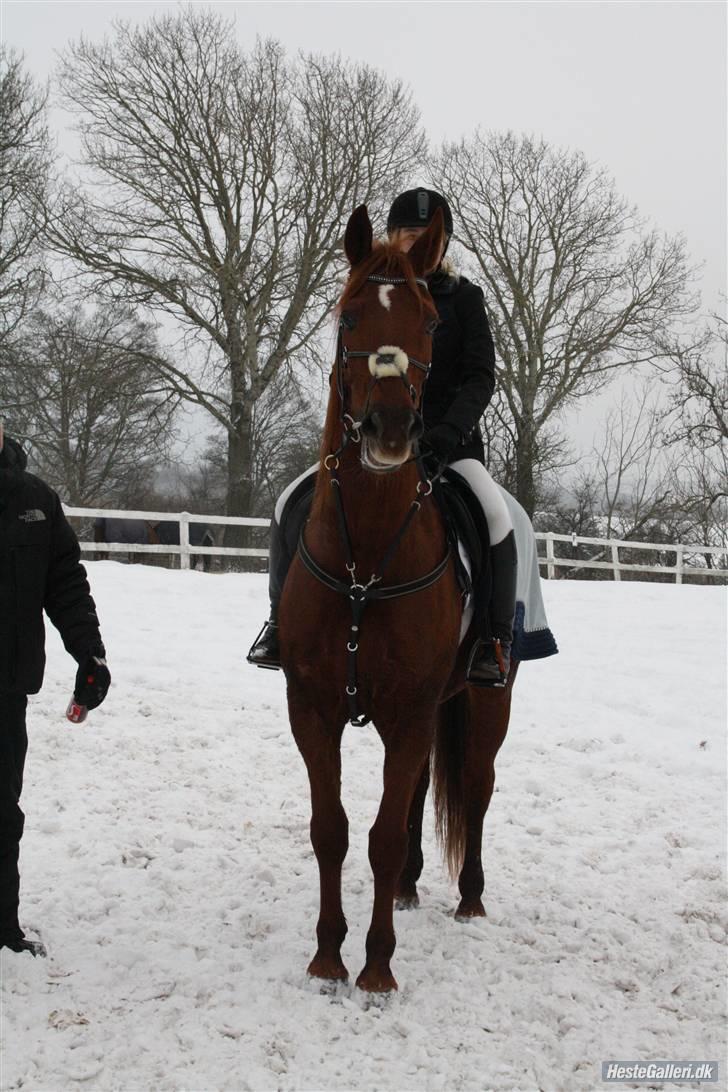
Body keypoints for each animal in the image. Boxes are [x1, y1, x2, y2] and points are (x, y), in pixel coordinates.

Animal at [276, 203, 515, 991]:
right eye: (349, 315)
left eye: (431, 324)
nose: (389, 430)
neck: (368, 562)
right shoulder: (313, 707)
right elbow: (333, 830)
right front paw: (327, 955)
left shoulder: (411, 711)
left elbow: (379, 835)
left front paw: (376, 968)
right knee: (417, 796)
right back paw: (410, 888)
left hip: (484, 700)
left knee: (475, 785)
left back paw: (468, 897)